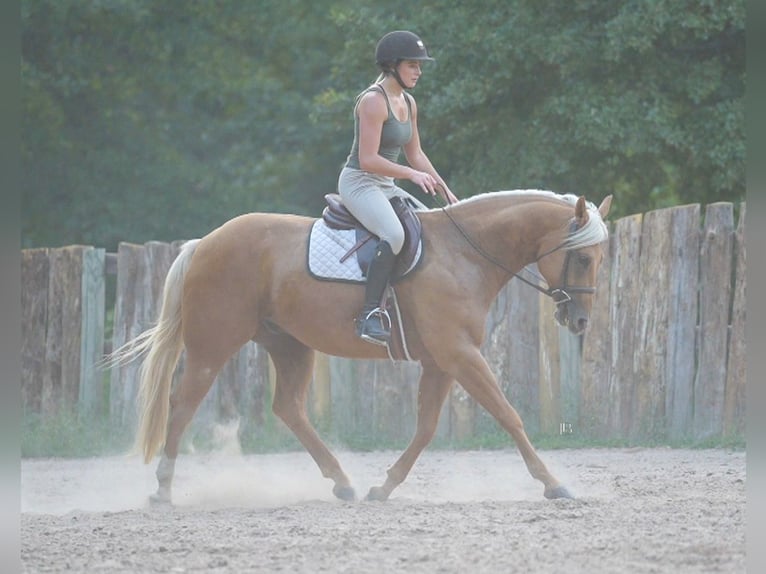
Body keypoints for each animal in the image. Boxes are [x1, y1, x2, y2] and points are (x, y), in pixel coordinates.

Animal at [108, 189, 612, 504]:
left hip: (290, 345)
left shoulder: (442, 362)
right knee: (181, 406)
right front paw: (554, 484)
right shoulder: (460, 354)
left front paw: (383, 488)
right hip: (212, 347)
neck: (463, 254)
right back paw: (163, 488)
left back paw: (344, 483)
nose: (581, 321)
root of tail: (206, 242)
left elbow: (426, 429)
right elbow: (509, 416)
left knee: (288, 408)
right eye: (584, 258)